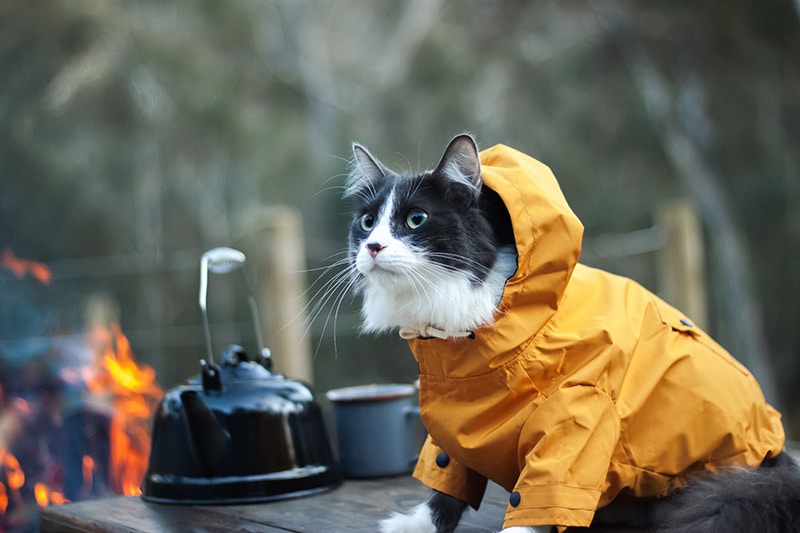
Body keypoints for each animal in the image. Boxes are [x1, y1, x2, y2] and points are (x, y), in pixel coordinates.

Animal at [340, 134, 800, 532]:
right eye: (367, 222)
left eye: (415, 219)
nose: (373, 247)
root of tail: (779, 459)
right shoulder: (450, 429)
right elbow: (446, 483)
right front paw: (417, 524)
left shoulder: (578, 414)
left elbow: (538, 497)